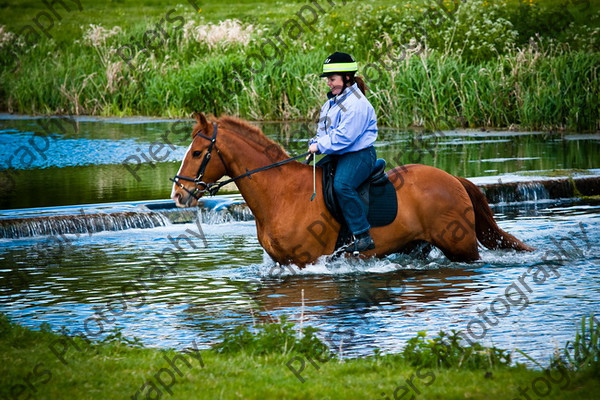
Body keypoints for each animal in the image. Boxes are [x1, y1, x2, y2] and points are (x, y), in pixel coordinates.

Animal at [171, 114, 532, 268]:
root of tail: (454, 179)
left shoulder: (306, 263)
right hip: (419, 245)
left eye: (198, 153)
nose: (178, 195)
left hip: (461, 247)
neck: (280, 193)